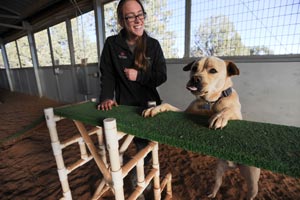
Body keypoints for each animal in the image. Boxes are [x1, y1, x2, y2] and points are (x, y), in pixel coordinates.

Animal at [143, 56, 260, 200]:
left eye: (213, 70)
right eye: (194, 68)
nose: (195, 78)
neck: (210, 102)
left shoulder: (238, 117)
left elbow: (228, 110)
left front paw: (220, 116)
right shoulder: (184, 112)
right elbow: (168, 105)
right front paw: (154, 108)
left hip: (252, 180)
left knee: (251, 193)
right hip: (219, 169)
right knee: (217, 183)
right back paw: (212, 193)